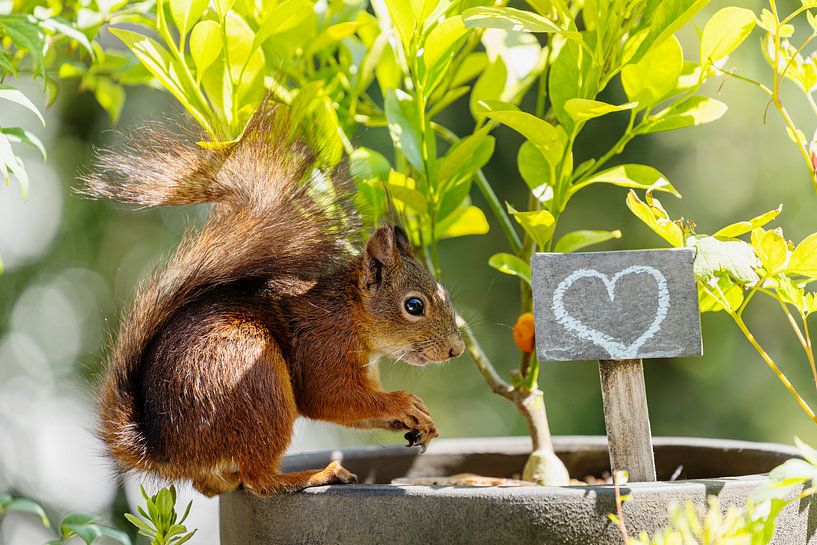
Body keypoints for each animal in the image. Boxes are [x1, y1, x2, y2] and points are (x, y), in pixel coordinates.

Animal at [81, 103, 465, 497]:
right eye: (414, 306)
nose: (457, 350)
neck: (350, 314)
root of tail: (168, 451)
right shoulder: (322, 346)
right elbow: (330, 398)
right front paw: (401, 401)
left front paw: (421, 420)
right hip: (253, 377)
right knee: (260, 480)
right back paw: (315, 475)